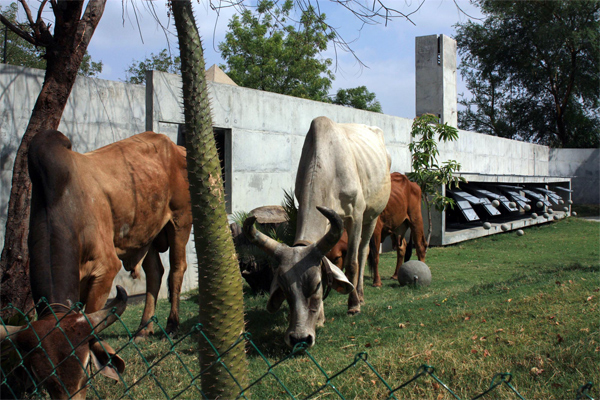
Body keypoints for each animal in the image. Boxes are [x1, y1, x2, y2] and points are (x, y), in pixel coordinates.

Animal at [0, 130, 192, 396]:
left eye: (82, 373)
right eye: (44, 378)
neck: (61, 202)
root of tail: (177, 148)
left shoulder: (105, 269)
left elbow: (90, 314)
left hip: (180, 220)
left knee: (176, 268)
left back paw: (172, 325)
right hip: (147, 233)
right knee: (155, 272)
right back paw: (143, 329)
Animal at [241, 116, 392, 346]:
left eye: (317, 285)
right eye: (285, 289)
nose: (299, 338)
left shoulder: (356, 215)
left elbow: (352, 263)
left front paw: (353, 305)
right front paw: (320, 317)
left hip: (372, 216)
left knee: (364, 252)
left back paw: (360, 294)